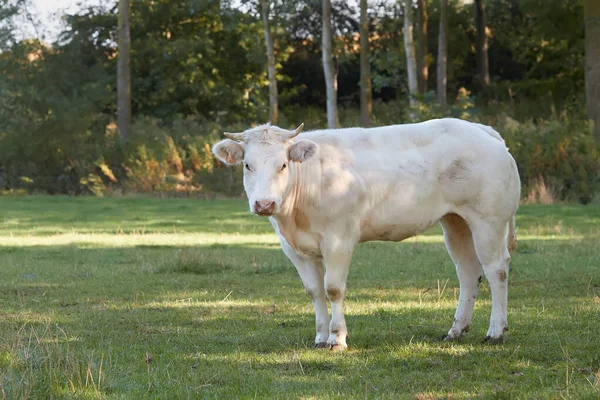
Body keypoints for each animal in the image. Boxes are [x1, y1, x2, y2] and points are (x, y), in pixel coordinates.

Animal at [214, 119, 520, 350]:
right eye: (248, 165)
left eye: (283, 165)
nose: (264, 204)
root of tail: (481, 129)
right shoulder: (294, 248)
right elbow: (314, 290)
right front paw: (320, 337)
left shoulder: (339, 238)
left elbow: (333, 288)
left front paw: (337, 339)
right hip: (455, 221)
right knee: (468, 271)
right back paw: (456, 330)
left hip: (488, 220)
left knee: (496, 269)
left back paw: (495, 331)